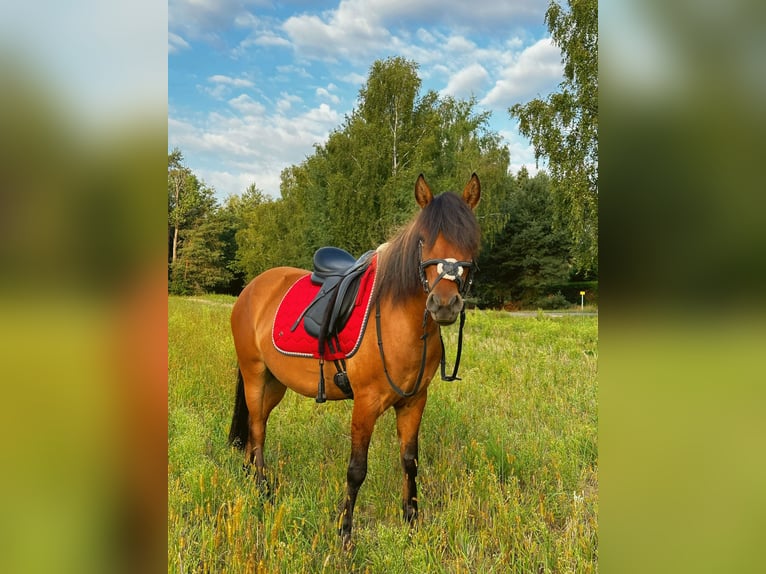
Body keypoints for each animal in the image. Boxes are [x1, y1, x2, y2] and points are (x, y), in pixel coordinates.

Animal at [228, 173, 481, 545]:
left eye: (472, 240)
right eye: (423, 239)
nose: (444, 304)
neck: (398, 319)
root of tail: (252, 288)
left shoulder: (414, 401)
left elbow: (410, 461)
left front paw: (411, 521)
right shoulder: (366, 403)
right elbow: (357, 469)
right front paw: (345, 532)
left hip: (275, 383)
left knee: (254, 428)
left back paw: (251, 479)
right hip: (254, 375)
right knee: (258, 430)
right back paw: (263, 491)